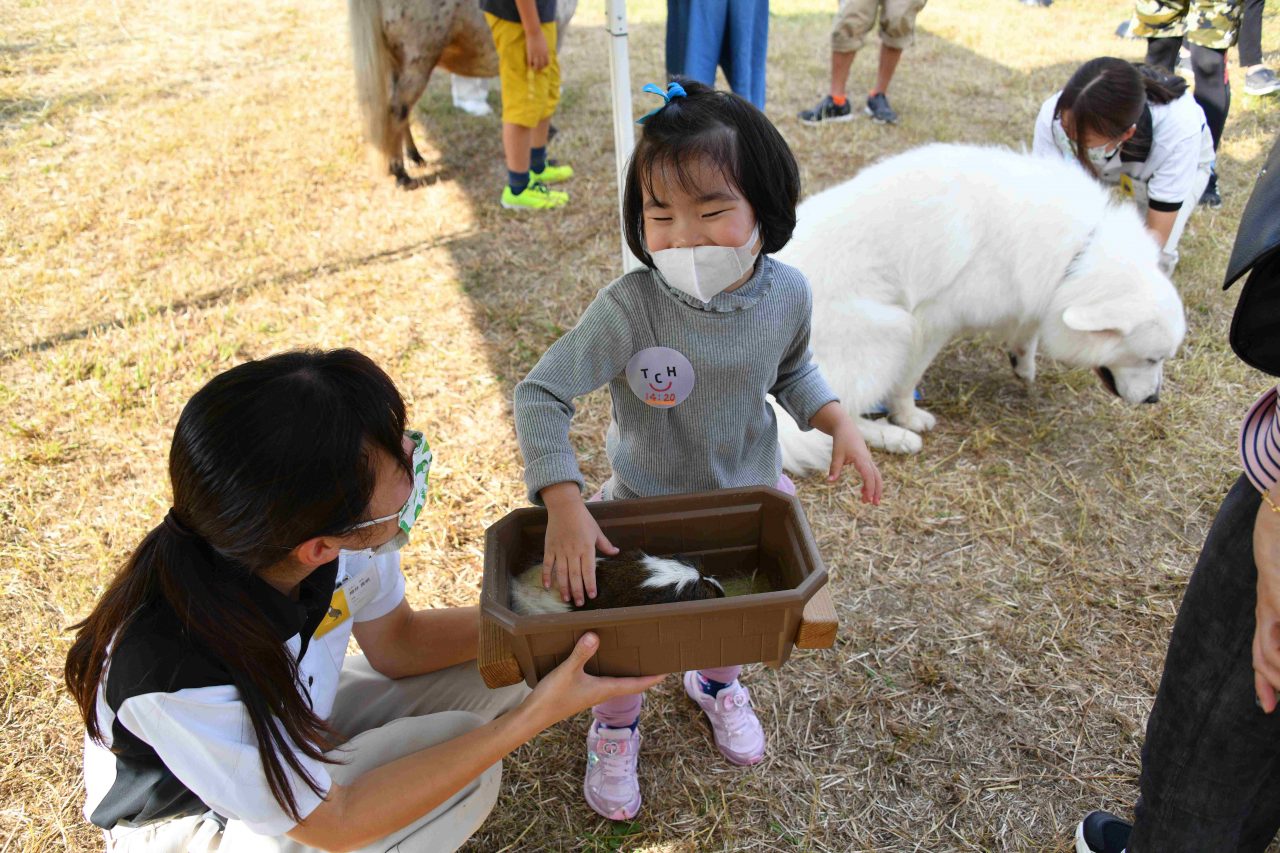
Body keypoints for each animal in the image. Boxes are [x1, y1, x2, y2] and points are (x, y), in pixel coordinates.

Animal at [778, 146, 1187, 466]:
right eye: (1151, 359)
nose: (1153, 399)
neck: (1079, 250)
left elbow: (1028, 328)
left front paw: (1024, 363)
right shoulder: (930, 322)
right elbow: (907, 381)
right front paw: (907, 416)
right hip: (892, 331)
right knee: (834, 415)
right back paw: (892, 437)